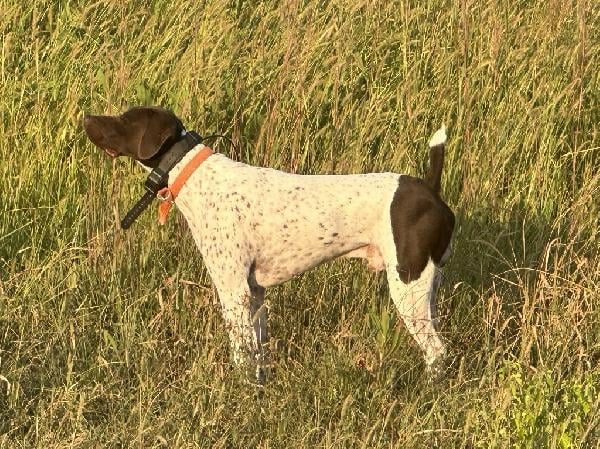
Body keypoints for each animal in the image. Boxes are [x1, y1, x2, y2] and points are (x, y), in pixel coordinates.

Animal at [83, 107, 454, 380]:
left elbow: (241, 353)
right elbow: (259, 351)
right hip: (427, 288)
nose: (86, 117)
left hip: (408, 287)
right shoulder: (255, 292)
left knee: (437, 351)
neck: (197, 178)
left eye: (124, 119)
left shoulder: (233, 290)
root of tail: (431, 189)